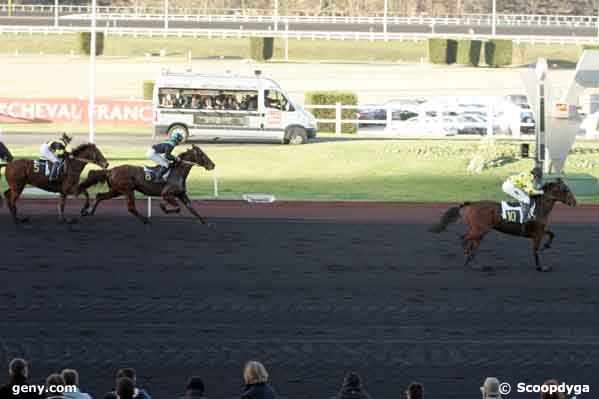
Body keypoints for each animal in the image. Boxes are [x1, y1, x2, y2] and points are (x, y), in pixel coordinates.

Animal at [78, 144, 216, 225]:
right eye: (202, 154)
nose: (212, 165)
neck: (177, 172)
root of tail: (110, 170)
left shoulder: (181, 194)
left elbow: (191, 208)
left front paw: (204, 221)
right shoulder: (167, 194)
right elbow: (177, 207)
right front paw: (163, 207)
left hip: (116, 190)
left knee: (99, 196)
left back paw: (88, 212)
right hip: (127, 190)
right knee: (131, 207)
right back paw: (145, 220)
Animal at [428, 180, 580, 274]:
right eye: (566, 190)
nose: (575, 203)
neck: (540, 207)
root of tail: (471, 204)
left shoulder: (539, 231)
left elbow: (552, 234)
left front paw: (547, 246)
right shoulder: (537, 234)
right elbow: (536, 250)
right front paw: (541, 267)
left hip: (479, 231)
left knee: (471, 244)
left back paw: (475, 263)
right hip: (480, 230)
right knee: (465, 239)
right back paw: (469, 259)